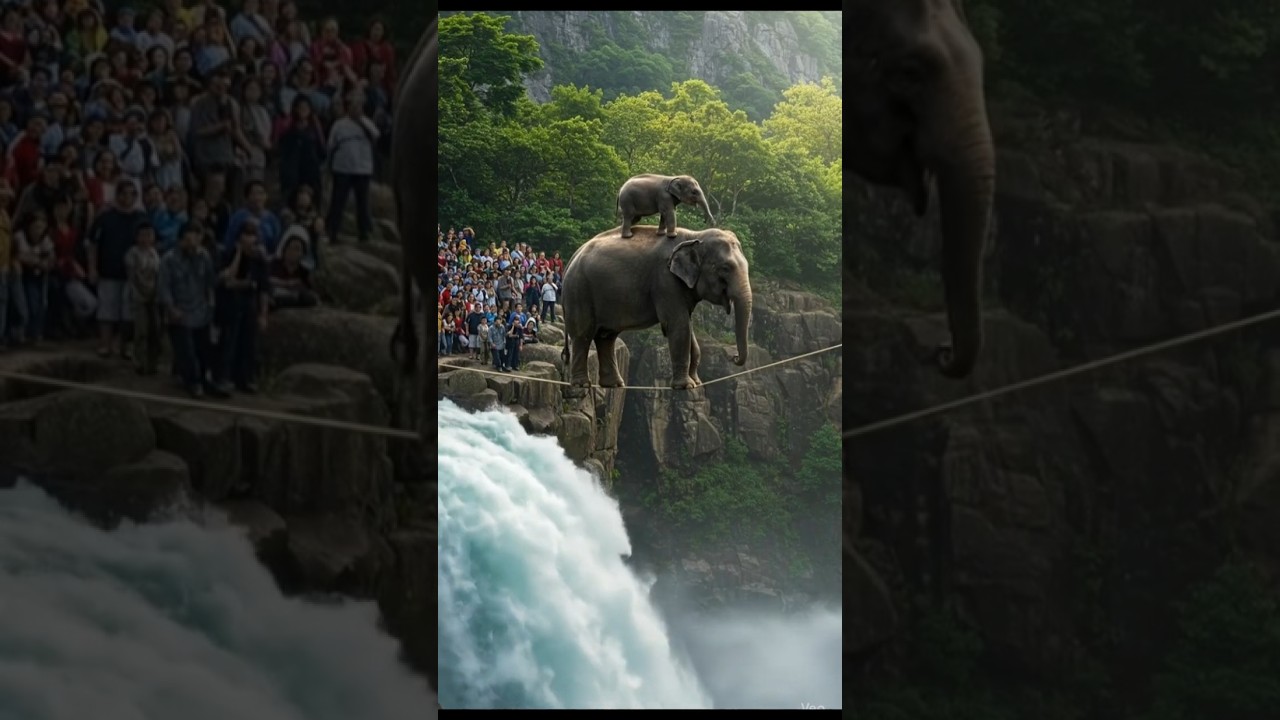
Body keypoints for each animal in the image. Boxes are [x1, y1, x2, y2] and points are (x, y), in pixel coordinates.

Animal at [560, 225, 751, 390]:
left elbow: (687, 326)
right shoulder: (665, 280)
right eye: (725, 268)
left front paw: (696, 383)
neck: (694, 236)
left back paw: (614, 385)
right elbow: (678, 325)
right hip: (579, 291)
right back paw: (582, 385)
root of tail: (573, 257)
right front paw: (686, 386)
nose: (734, 357)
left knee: (606, 336)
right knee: (583, 334)